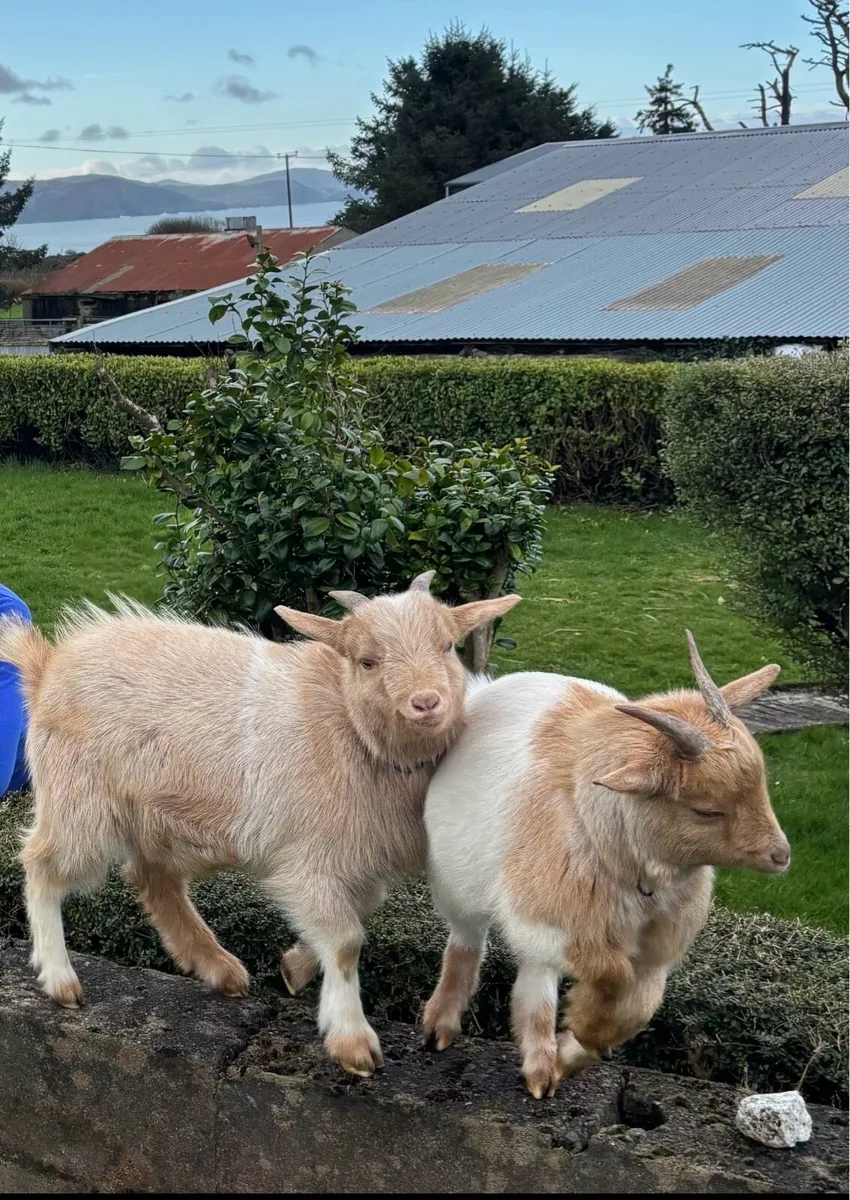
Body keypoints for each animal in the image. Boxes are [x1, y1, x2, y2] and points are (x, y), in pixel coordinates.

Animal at [0, 573, 519, 1077]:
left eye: (447, 646)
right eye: (367, 661)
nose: (426, 702)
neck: (349, 727)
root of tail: (47, 666)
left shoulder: (355, 859)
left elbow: (359, 912)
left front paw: (294, 966)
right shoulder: (308, 859)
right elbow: (347, 940)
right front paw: (353, 1041)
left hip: (155, 817)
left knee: (152, 879)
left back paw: (217, 967)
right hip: (79, 803)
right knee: (42, 864)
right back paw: (60, 978)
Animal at [421, 633, 789, 1098]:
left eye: (761, 784)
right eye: (706, 810)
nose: (781, 855)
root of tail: (481, 691)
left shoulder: (656, 948)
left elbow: (642, 1006)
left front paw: (569, 1055)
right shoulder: (563, 923)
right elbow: (611, 975)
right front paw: (580, 1028)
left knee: (533, 974)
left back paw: (540, 1066)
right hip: (464, 888)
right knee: (471, 943)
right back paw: (444, 1029)